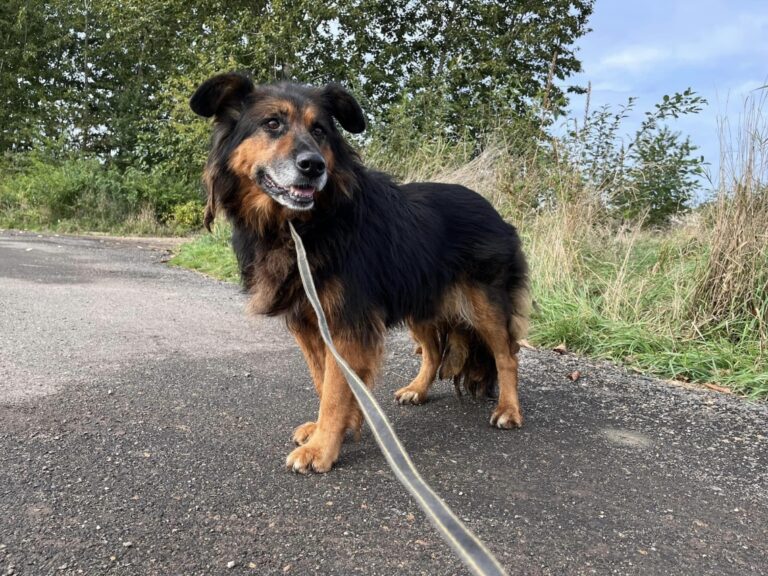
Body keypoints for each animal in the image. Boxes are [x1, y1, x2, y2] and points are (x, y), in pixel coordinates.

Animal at [189, 72, 532, 472]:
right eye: (272, 124)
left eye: (320, 130)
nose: (313, 166)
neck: (302, 226)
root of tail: (494, 211)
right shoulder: (309, 320)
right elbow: (325, 379)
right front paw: (338, 427)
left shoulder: (347, 321)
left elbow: (336, 389)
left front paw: (322, 448)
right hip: (420, 301)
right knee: (433, 352)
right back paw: (418, 390)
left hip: (484, 302)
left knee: (507, 355)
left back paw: (509, 409)